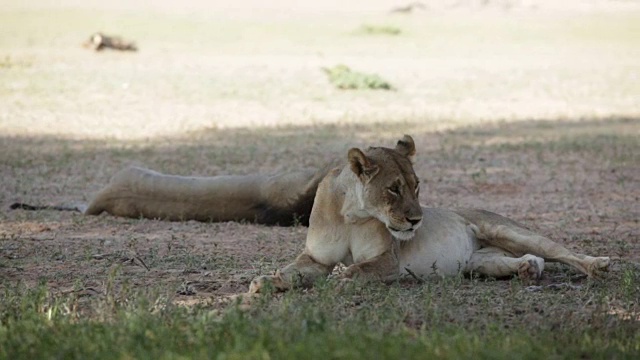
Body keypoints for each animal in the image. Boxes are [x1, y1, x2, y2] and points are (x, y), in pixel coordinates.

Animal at [11, 136, 608, 292]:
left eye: (418, 188)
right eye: (394, 189)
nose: (417, 220)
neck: (351, 213)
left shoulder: (391, 263)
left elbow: (359, 270)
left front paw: (345, 279)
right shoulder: (311, 257)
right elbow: (294, 272)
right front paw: (263, 284)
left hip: (500, 225)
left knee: (560, 250)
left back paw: (596, 264)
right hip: (477, 262)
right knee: (515, 262)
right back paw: (528, 271)